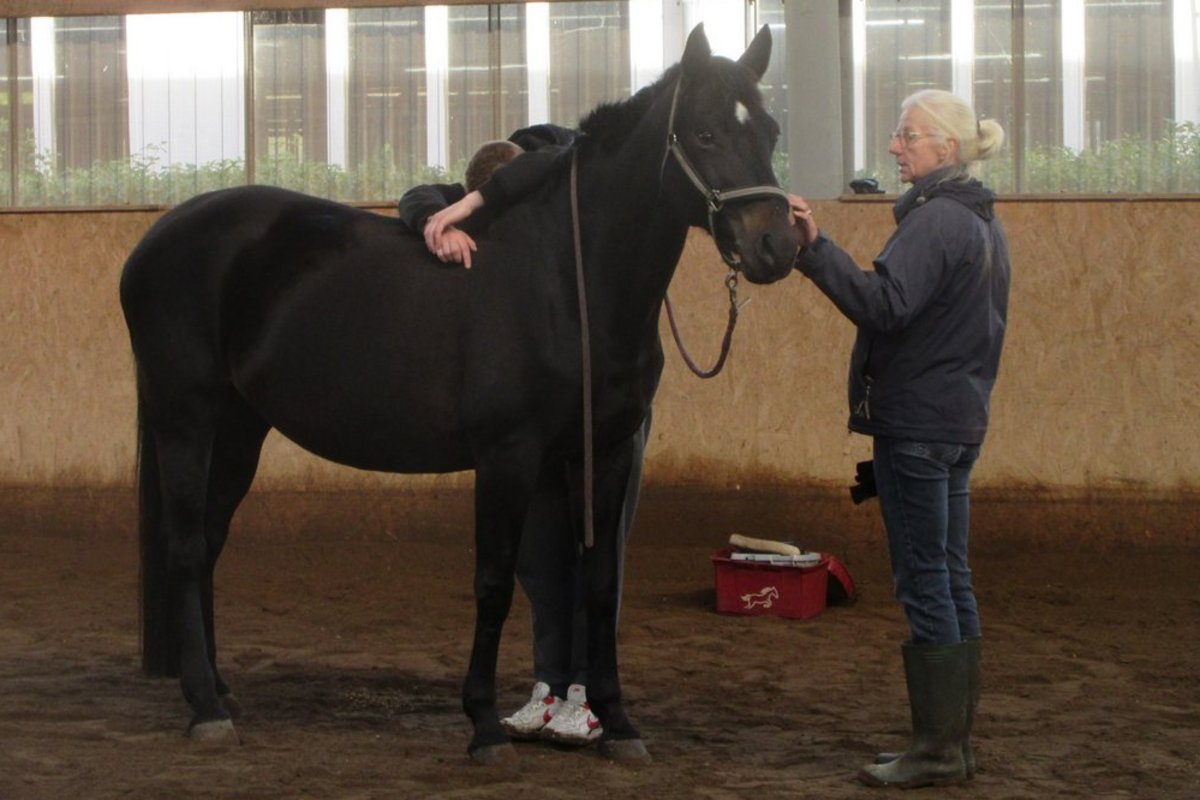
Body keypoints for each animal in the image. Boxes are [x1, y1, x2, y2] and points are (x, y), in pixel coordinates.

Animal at [120, 23, 799, 763]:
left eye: (769, 130)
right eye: (704, 133)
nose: (776, 245)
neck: (567, 278)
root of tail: (156, 238)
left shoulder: (606, 449)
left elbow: (598, 584)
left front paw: (618, 721)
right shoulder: (507, 455)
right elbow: (494, 584)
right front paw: (482, 725)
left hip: (241, 427)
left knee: (210, 541)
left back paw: (216, 687)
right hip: (186, 419)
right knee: (187, 548)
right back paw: (206, 707)